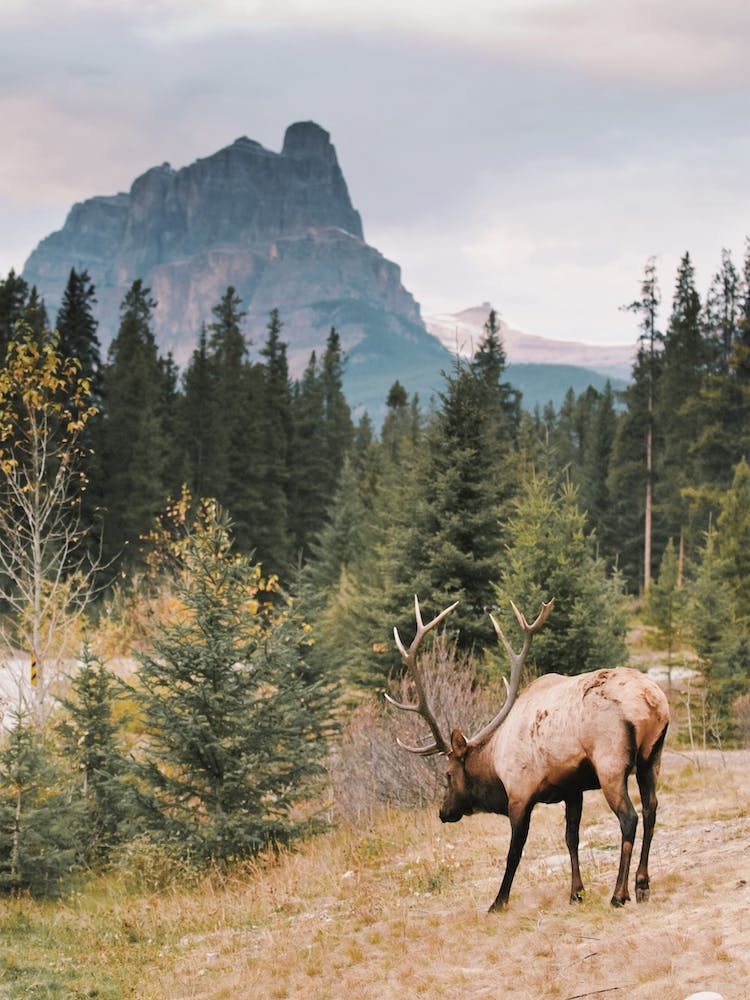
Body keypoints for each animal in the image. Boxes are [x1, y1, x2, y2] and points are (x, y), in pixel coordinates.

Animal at [386, 597, 670, 911]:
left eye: (448, 774)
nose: (443, 812)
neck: (495, 765)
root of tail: (650, 701)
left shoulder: (520, 794)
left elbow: (514, 852)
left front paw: (498, 902)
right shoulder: (573, 789)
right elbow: (571, 837)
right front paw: (576, 893)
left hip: (611, 763)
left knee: (629, 818)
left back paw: (619, 894)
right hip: (651, 758)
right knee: (651, 809)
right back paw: (642, 885)